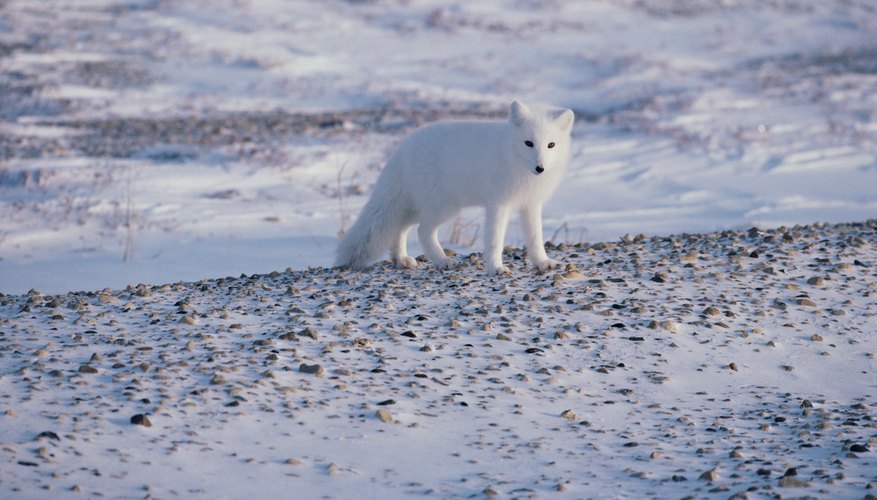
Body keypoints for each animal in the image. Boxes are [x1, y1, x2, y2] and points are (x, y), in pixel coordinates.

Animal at [336, 100, 576, 276]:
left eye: (551, 145)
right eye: (528, 143)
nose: (540, 168)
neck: (512, 157)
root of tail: (402, 150)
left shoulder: (531, 204)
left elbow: (535, 237)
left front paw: (543, 262)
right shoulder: (498, 204)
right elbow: (495, 239)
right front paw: (496, 268)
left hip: (417, 207)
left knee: (400, 228)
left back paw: (401, 259)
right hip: (444, 207)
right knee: (422, 231)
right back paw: (442, 261)